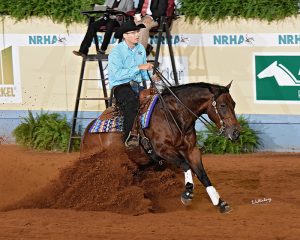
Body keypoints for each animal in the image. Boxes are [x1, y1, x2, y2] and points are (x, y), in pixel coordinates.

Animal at [79, 81, 239, 214]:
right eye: (222, 105)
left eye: (234, 104)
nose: (236, 132)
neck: (173, 114)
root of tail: (88, 131)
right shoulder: (164, 150)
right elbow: (185, 165)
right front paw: (187, 193)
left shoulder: (191, 150)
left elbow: (202, 175)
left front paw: (220, 203)